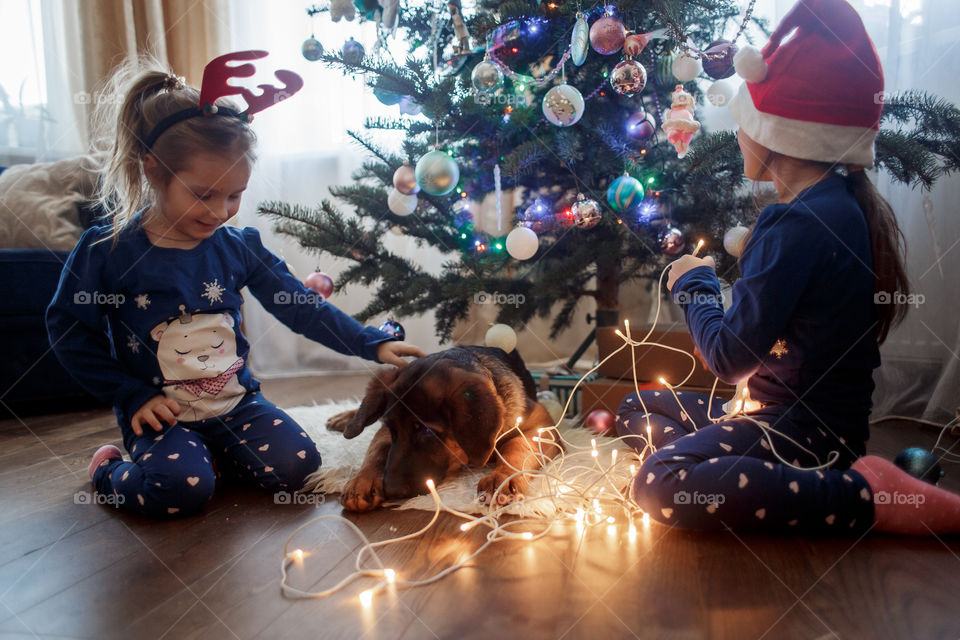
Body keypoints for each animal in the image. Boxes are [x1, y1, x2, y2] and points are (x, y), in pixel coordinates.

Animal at [326, 344, 560, 510]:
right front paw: (361, 480)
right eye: (393, 429)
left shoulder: (540, 424)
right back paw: (346, 418)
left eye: (426, 431)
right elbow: (378, 448)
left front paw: (502, 477)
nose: (391, 491)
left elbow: (518, 445)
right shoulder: (385, 429)